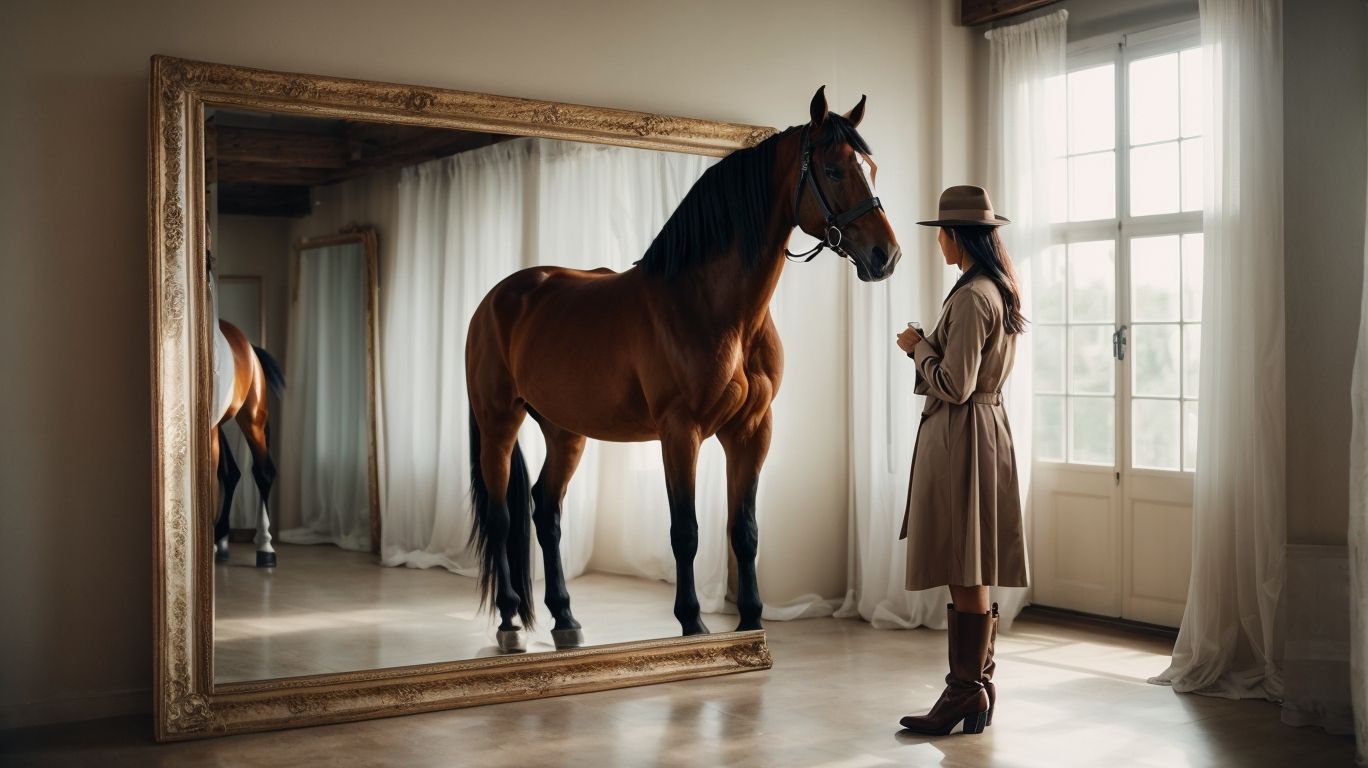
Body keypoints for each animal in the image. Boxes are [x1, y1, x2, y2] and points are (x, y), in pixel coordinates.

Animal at [210, 316, 286, 567]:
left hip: (252, 418)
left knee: (264, 472)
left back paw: (265, 547)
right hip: (220, 428)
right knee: (230, 472)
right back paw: (220, 541)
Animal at [465, 86, 901, 653]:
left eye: (871, 167)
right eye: (832, 169)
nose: (886, 255)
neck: (712, 306)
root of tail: (497, 299)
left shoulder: (751, 431)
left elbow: (744, 530)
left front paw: (750, 622)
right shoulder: (681, 432)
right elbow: (686, 531)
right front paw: (693, 624)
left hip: (565, 431)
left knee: (546, 511)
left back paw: (565, 618)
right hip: (500, 423)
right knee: (502, 517)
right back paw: (510, 623)